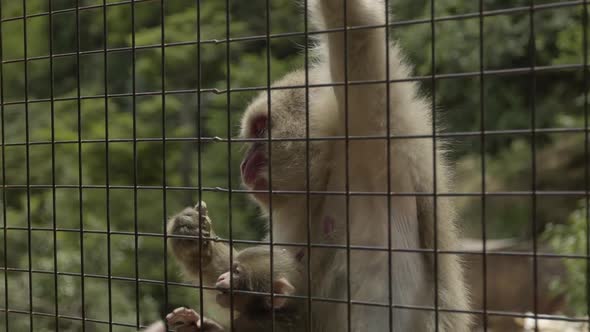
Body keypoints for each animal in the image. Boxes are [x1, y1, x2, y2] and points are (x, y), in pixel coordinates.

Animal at [164, 0, 474, 330]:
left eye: (260, 130)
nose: (244, 163)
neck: (329, 172)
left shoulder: (377, 149)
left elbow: (358, 29)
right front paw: (194, 242)